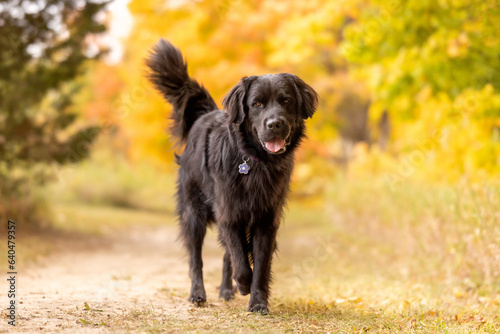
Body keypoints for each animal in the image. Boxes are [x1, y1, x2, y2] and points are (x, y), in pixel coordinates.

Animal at [146, 39, 316, 316]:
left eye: (286, 100)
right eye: (257, 104)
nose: (275, 124)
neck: (255, 162)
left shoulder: (266, 219)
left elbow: (259, 265)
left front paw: (257, 302)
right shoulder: (229, 213)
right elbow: (242, 263)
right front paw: (244, 285)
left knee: (227, 254)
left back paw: (226, 290)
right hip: (193, 213)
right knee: (196, 259)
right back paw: (199, 293)